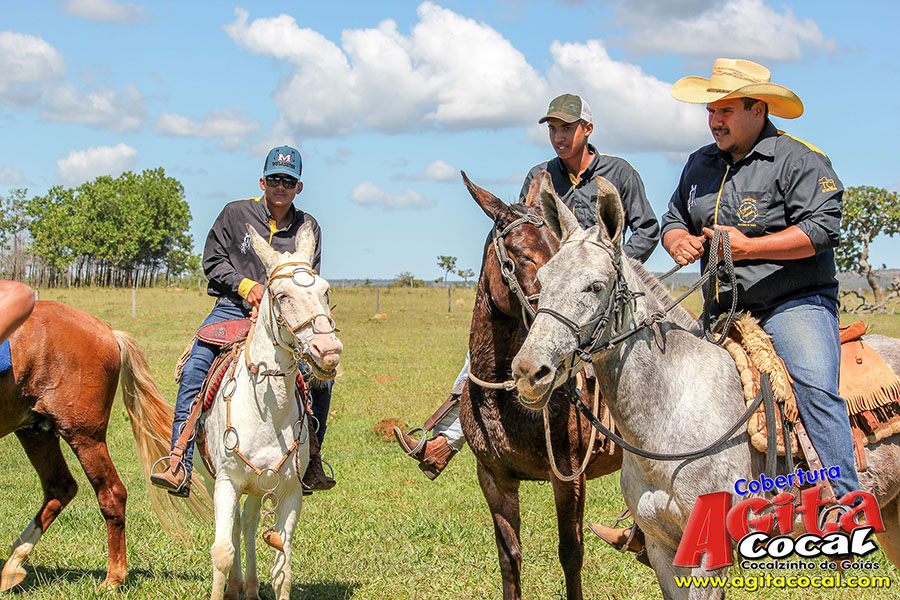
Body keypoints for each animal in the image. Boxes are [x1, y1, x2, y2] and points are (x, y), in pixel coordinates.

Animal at [0, 299, 178, 591]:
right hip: (36, 431)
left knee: (112, 494)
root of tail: (107, 331)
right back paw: (12, 566)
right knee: (60, 486)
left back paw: (113, 579)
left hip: (83, 435)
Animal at [459, 172, 622, 600]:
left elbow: (571, 553)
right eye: (520, 256)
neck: (505, 399)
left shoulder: (569, 476)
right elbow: (509, 556)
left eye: (556, 249)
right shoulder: (493, 478)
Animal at [511, 173, 900, 598]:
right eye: (543, 278)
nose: (528, 371)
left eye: (595, 286)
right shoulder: (662, 548)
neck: (670, 415)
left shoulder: (710, 552)